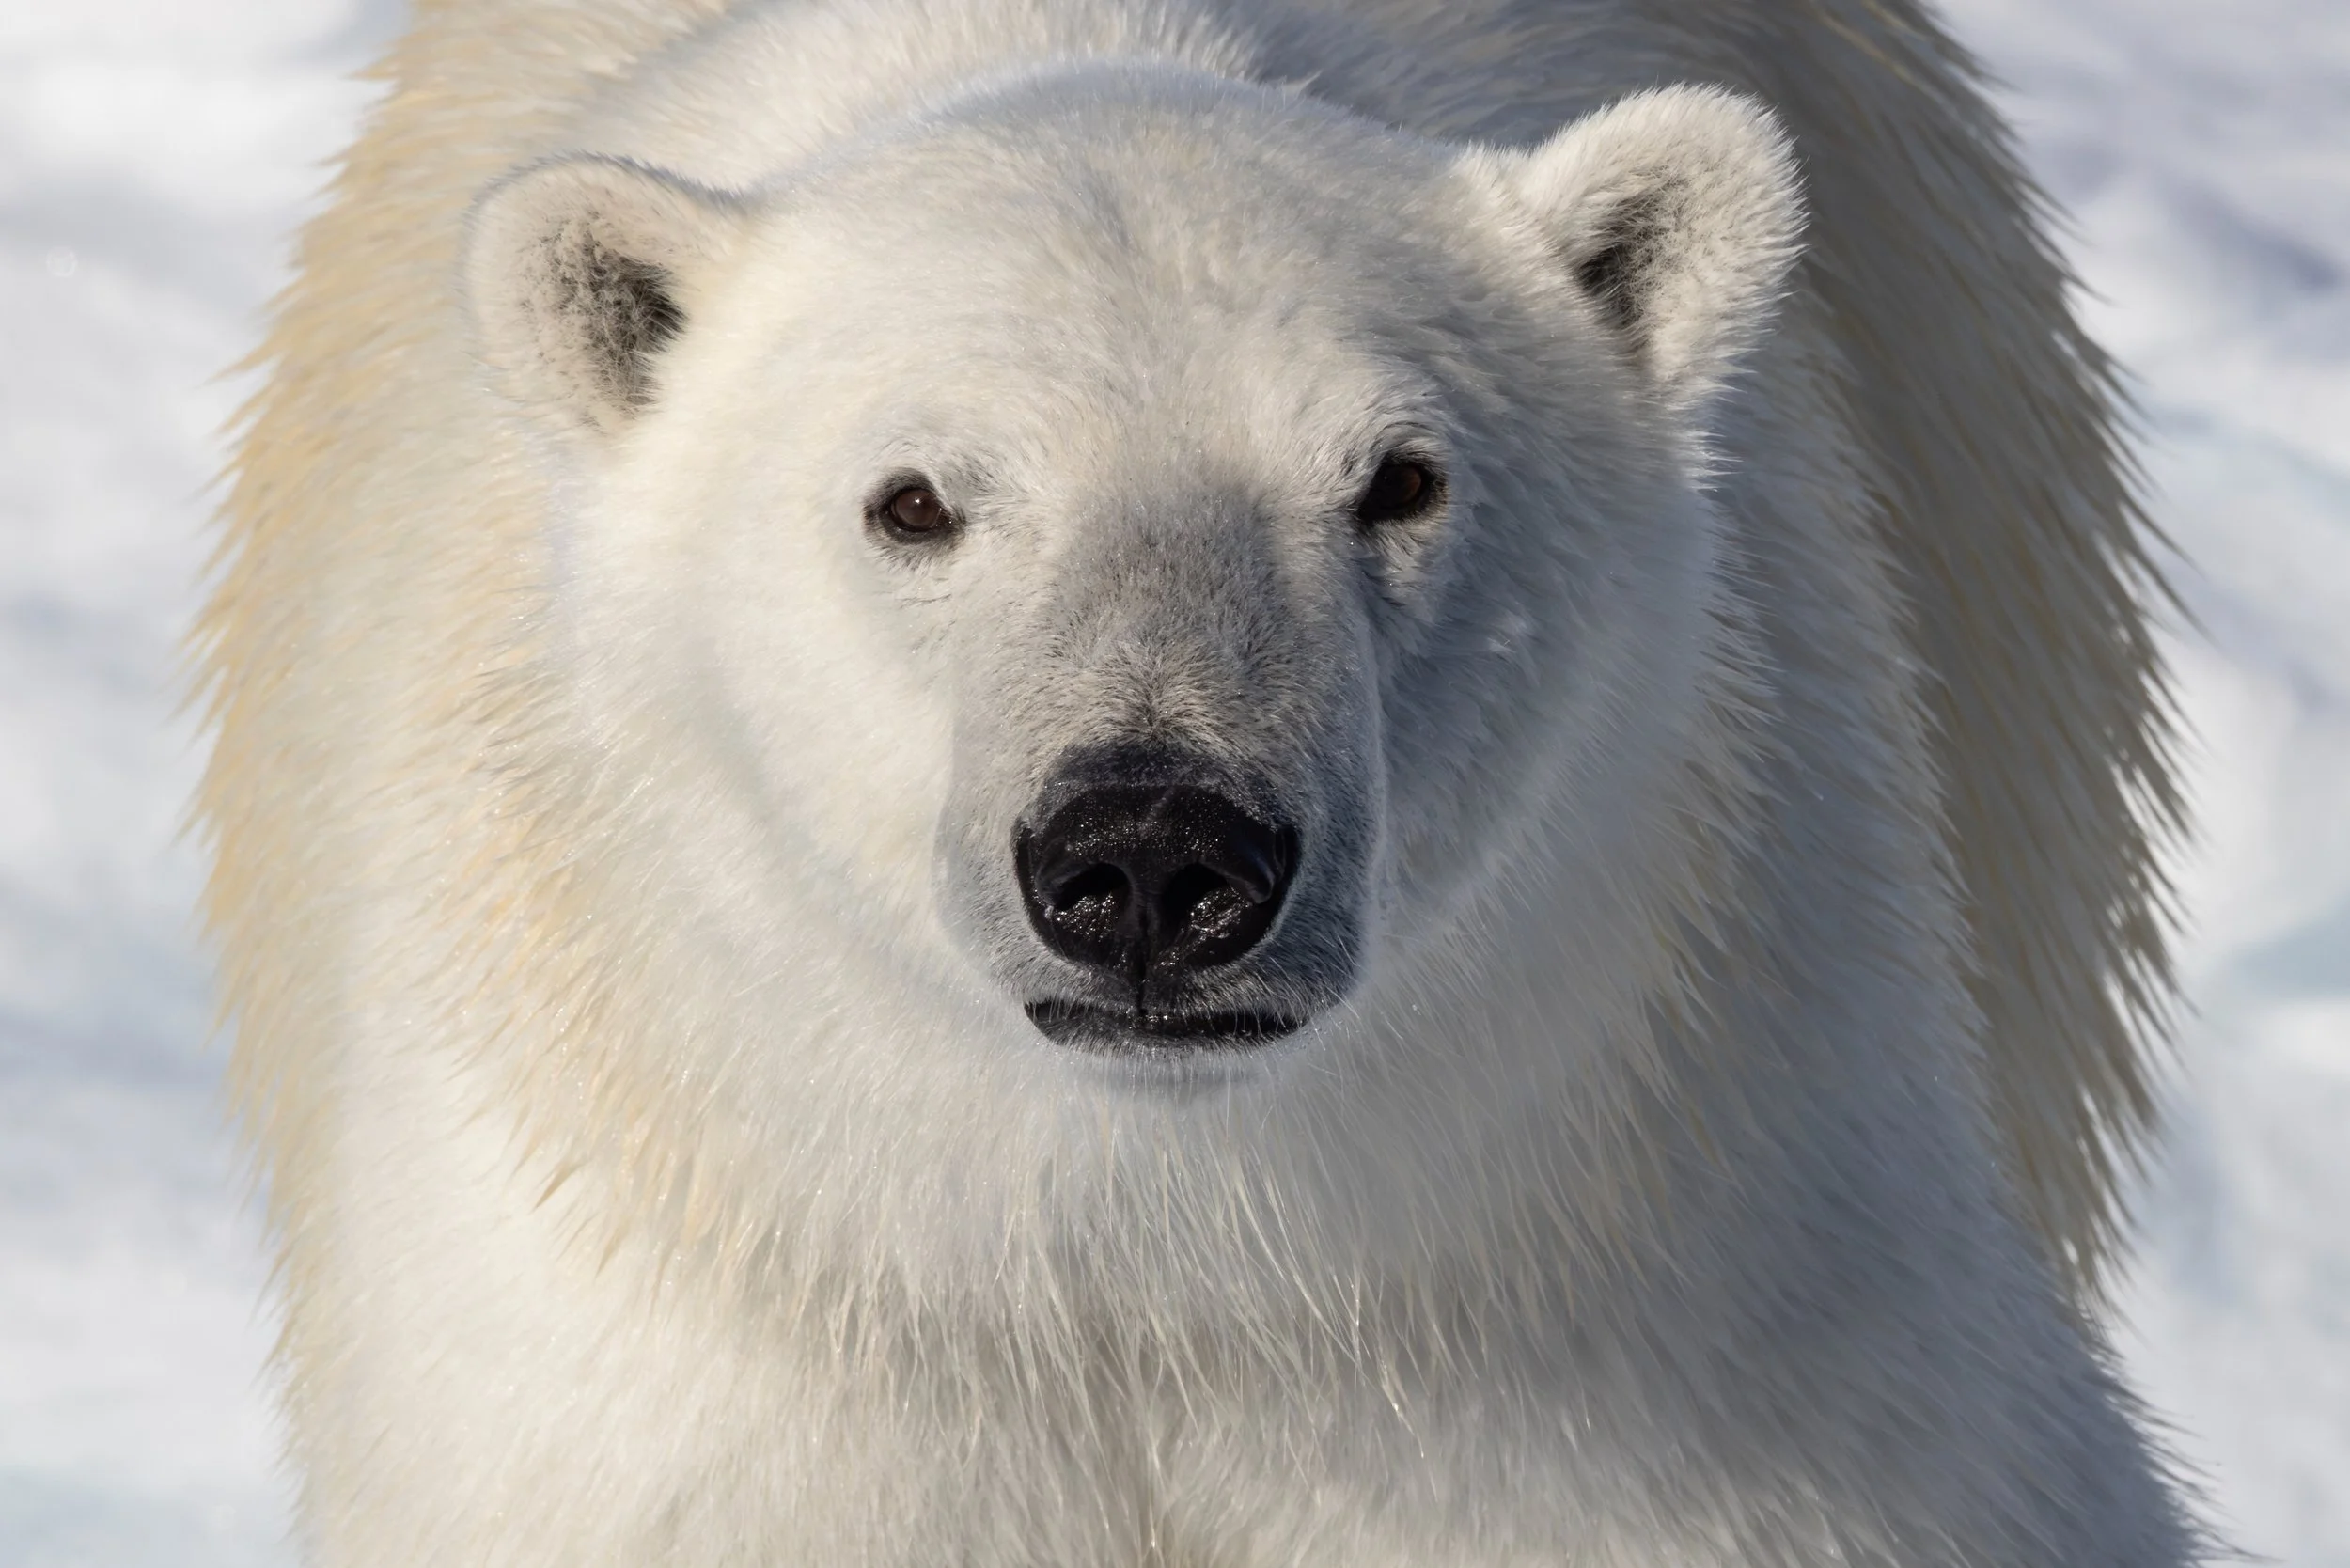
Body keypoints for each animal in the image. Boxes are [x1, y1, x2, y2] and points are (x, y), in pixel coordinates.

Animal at [199, 0, 2197, 1562]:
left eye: (1398, 477)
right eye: (914, 496)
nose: (1156, 853)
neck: (1163, 1261)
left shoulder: (1648, 1284)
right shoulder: (714, 1358)